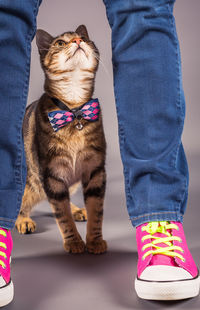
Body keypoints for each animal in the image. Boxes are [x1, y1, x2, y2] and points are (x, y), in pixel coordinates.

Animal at [15, 25, 108, 254]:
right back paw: (23, 220)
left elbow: (96, 211)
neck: (74, 109)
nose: (77, 40)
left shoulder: (95, 170)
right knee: (20, 203)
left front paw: (94, 241)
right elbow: (62, 216)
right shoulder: (52, 174)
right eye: (59, 43)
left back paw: (76, 209)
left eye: (83, 37)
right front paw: (74, 242)